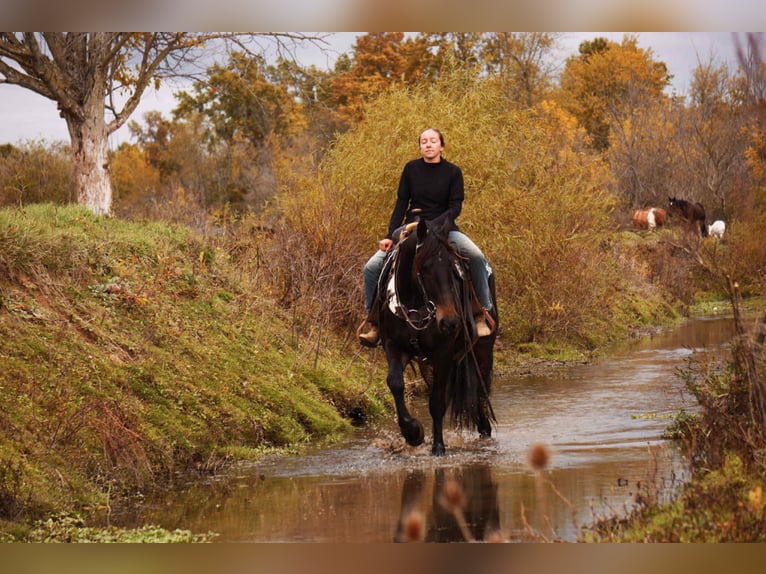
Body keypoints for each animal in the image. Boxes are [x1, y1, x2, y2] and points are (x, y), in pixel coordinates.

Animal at [375, 211, 498, 456]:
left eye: (453, 269)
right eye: (424, 269)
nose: (450, 321)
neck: (416, 302)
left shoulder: (443, 351)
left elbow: (438, 401)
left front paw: (438, 446)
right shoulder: (394, 346)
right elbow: (395, 382)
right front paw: (413, 433)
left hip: (482, 350)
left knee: (480, 389)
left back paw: (484, 430)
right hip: (428, 363)